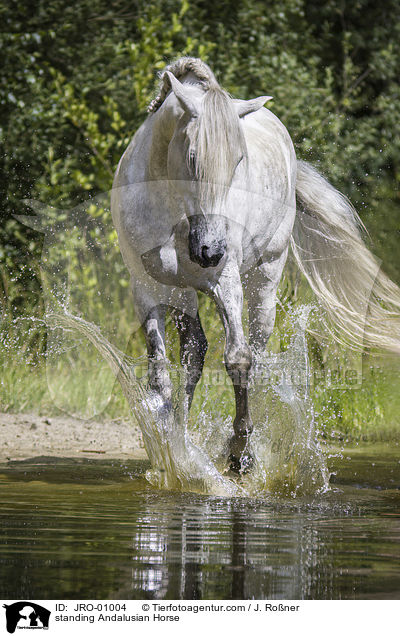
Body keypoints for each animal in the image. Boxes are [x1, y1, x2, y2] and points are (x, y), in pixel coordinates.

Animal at [111, 57, 400, 472]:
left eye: (237, 160)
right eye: (193, 157)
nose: (210, 250)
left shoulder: (225, 281)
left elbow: (238, 358)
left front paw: (239, 450)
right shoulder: (149, 288)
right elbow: (160, 372)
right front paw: (170, 448)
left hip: (264, 278)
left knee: (258, 352)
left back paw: (244, 448)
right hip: (183, 292)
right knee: (194, 352)